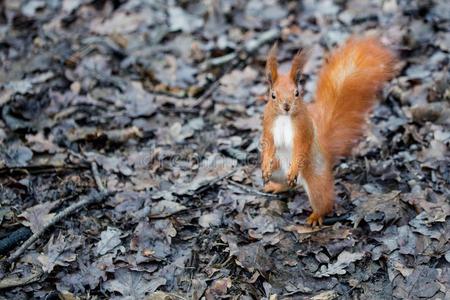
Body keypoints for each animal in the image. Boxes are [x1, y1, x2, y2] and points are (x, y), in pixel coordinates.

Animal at [262, 37, 396, 225]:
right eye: (273, 95)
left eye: (297, 93)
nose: (286, 106)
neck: (283, 117)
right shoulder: (268, 126)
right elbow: (268, 145)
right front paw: (264, 166)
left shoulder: (303, 129)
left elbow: (301, 147)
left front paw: (294, 166)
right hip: (278, 169)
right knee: (288, 183)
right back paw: (275, 185)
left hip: (315, 181)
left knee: (324, 202)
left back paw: (315, 216)